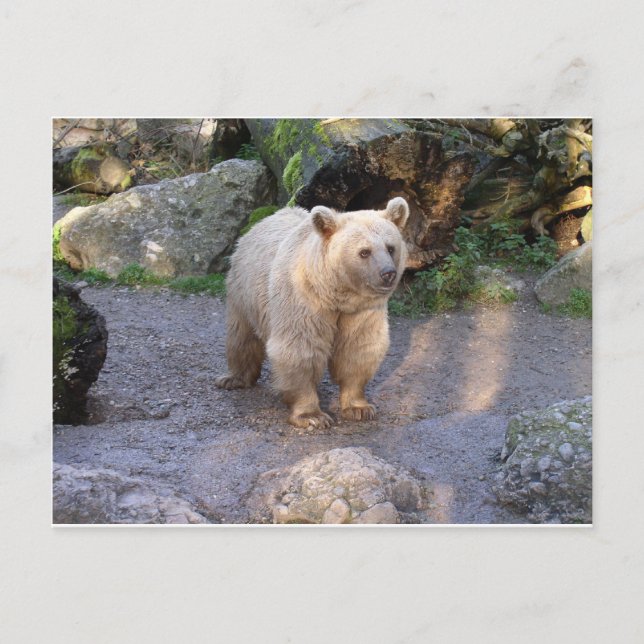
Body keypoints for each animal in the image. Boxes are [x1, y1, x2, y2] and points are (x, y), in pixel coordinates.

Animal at [215, 197, 409, 429]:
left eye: (390, 248)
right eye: (365, 251)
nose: (388, 273)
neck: (337, 295)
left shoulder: (362, 311)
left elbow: (357, 348)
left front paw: (359, 408)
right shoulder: (303, 300)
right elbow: (301, 348)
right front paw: (312, 415)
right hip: (244, 291)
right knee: (242, 336)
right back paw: (233, 378)